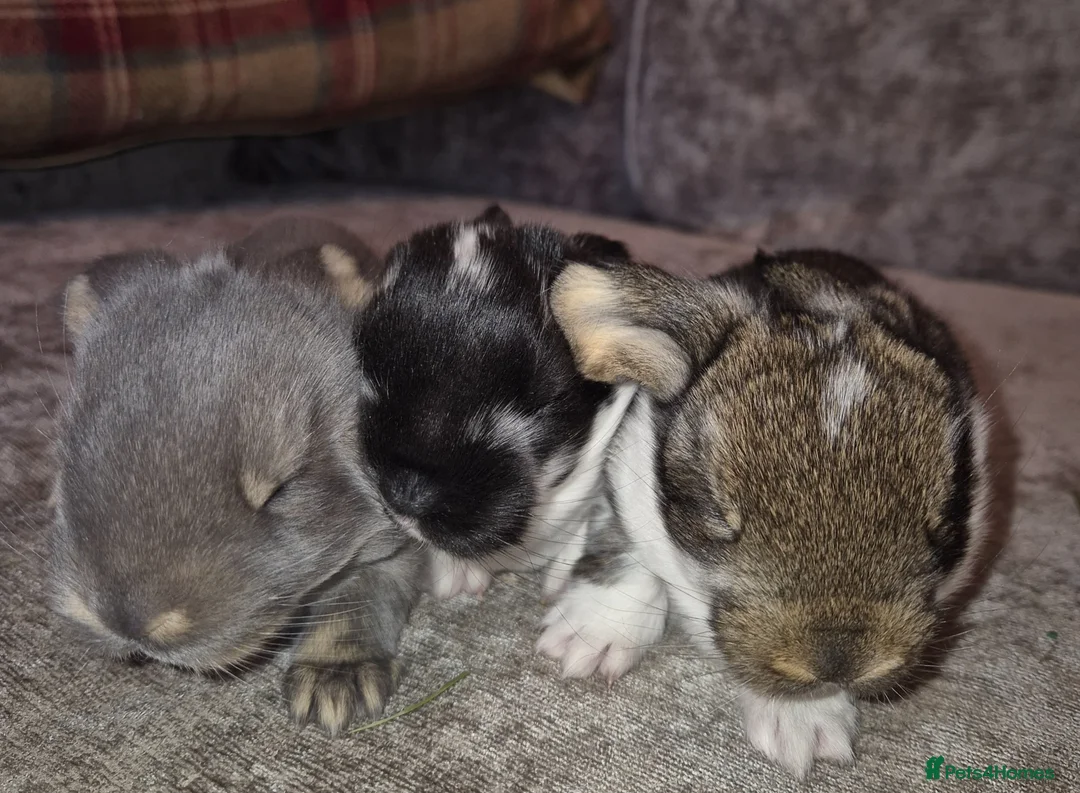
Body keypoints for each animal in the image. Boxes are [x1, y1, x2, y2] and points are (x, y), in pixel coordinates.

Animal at [48, 217, 424, 737]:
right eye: (67, 458)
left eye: (282, 488)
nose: (130, 623)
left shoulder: (393, 541)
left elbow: (362, 595)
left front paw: (334, 683)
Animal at [541, 247, 992, 778]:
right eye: (715, 510)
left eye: (947, 516)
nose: (838, 663)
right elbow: (625, 543)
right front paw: (587, 639)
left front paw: (804, 726)